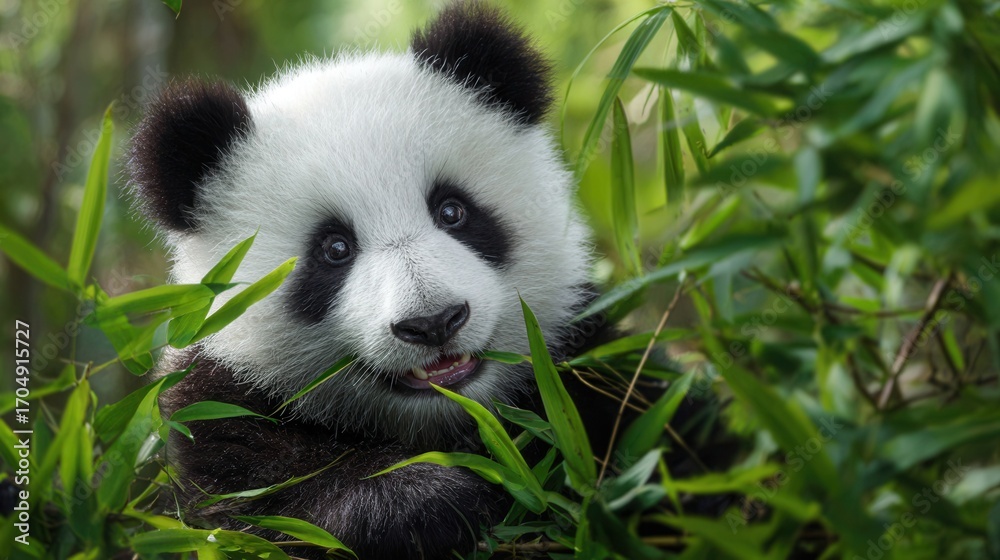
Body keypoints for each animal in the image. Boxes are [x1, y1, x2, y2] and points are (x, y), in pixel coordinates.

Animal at [129, 3, 622, 559]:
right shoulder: (220, 412)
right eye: (334, 249)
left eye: (452, 211)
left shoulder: (578, 355)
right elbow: (267, 506)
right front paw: (428, 501)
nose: (433, 323)